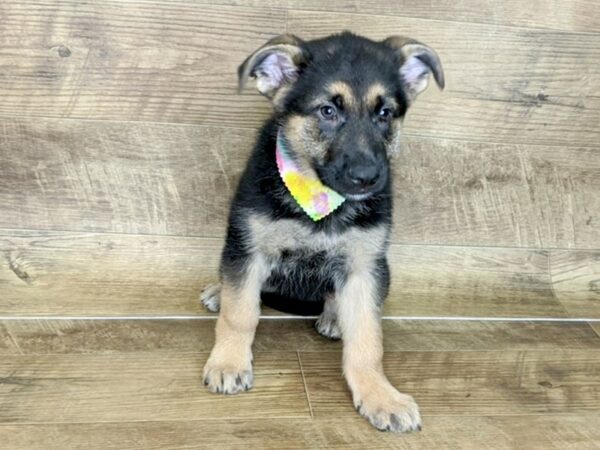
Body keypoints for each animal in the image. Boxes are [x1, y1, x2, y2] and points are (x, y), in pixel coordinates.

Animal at [204, 31, 442, 432]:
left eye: (385, 113)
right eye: (327, 111)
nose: (367, 178)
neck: (319, 198)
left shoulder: (364, 267)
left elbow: (367, 339)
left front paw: (380, 395)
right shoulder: (248, 249)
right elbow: (240, 314)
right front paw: (228, 362)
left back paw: (332, 316)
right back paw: (219, 292)